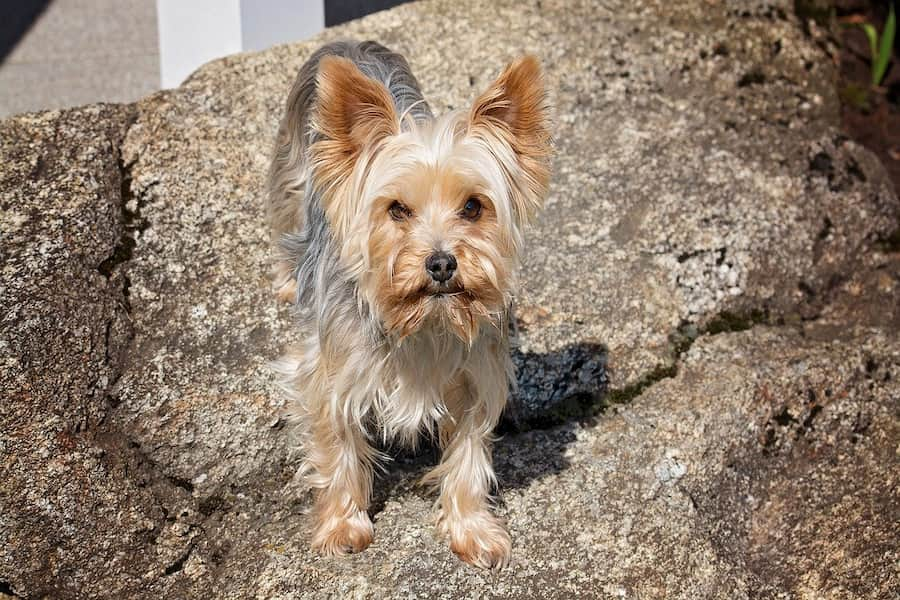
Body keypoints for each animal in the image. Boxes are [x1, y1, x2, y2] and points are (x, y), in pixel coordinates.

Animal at [264, 39, 552, 568]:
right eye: (397, 209)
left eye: (473, 206)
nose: (440, 263)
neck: (426, 321)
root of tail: (349, 42)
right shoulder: (330, 371)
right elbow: (336, 445)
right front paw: (342, 525)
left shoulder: (477, 375)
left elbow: (469, 457)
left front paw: (471, 529)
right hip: (290, 170)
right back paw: (289, 279)